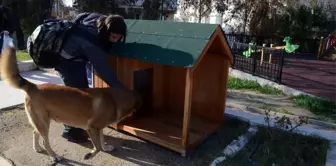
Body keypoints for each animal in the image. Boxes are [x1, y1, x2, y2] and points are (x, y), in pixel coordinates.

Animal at [0, 46, 142, 162]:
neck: (114, 99)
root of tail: (33, 86)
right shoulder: (92, 128)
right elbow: (97, 147)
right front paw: (90, 155)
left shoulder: (99, 128)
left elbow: (102, 140)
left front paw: (105, 147)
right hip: (44, 122)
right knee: (45, 141)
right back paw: (54, 156)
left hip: (41, 121)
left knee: (35, 133)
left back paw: (37, 148)